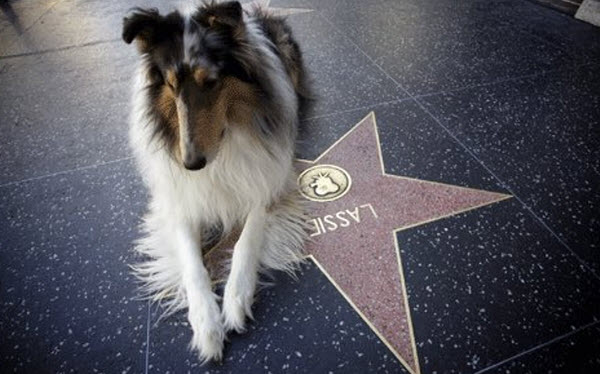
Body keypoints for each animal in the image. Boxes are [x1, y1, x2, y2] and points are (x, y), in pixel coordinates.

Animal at [120, 0, 310, 362]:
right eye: (171, 85)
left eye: (210, 82)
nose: (191, 163)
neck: (224, 144)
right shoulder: (180, 200)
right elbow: (192, 264)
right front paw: (206, 324)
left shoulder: (268, 183)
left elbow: (246, 241)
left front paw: (236, 299)